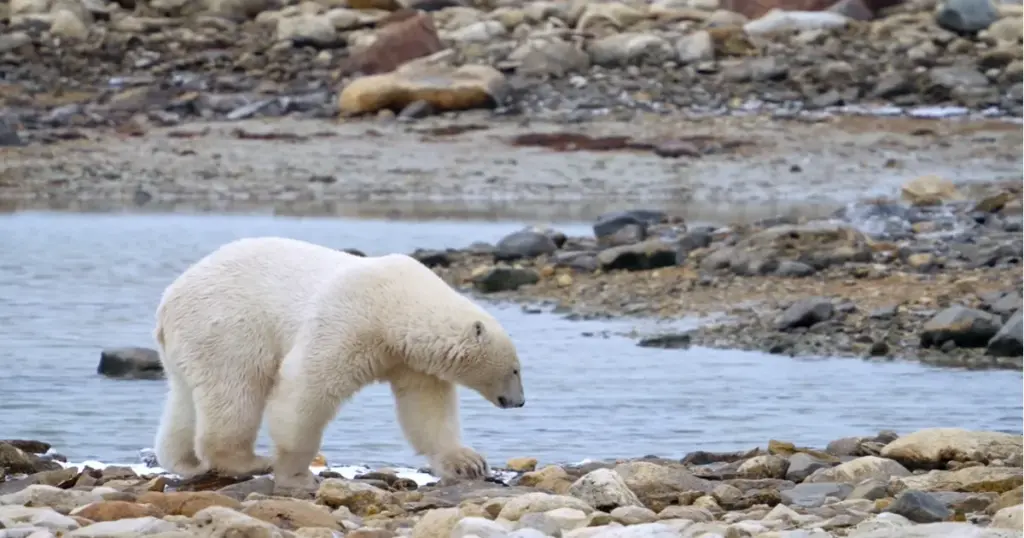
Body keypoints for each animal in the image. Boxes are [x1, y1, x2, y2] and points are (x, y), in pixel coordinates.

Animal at [152, 236, 525, 491]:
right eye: (515, 369)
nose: (519, 401)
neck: (395, 304)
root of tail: (167, 303)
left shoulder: (409, 360)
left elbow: (427, 408)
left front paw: (468, 463)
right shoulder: (349, 318)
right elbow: (307, 386)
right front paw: (297, 474)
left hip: (188, 345)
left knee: (185, 399)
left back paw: (187, 461)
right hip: (229, 326)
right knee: (236, 389)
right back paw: (248, 460)